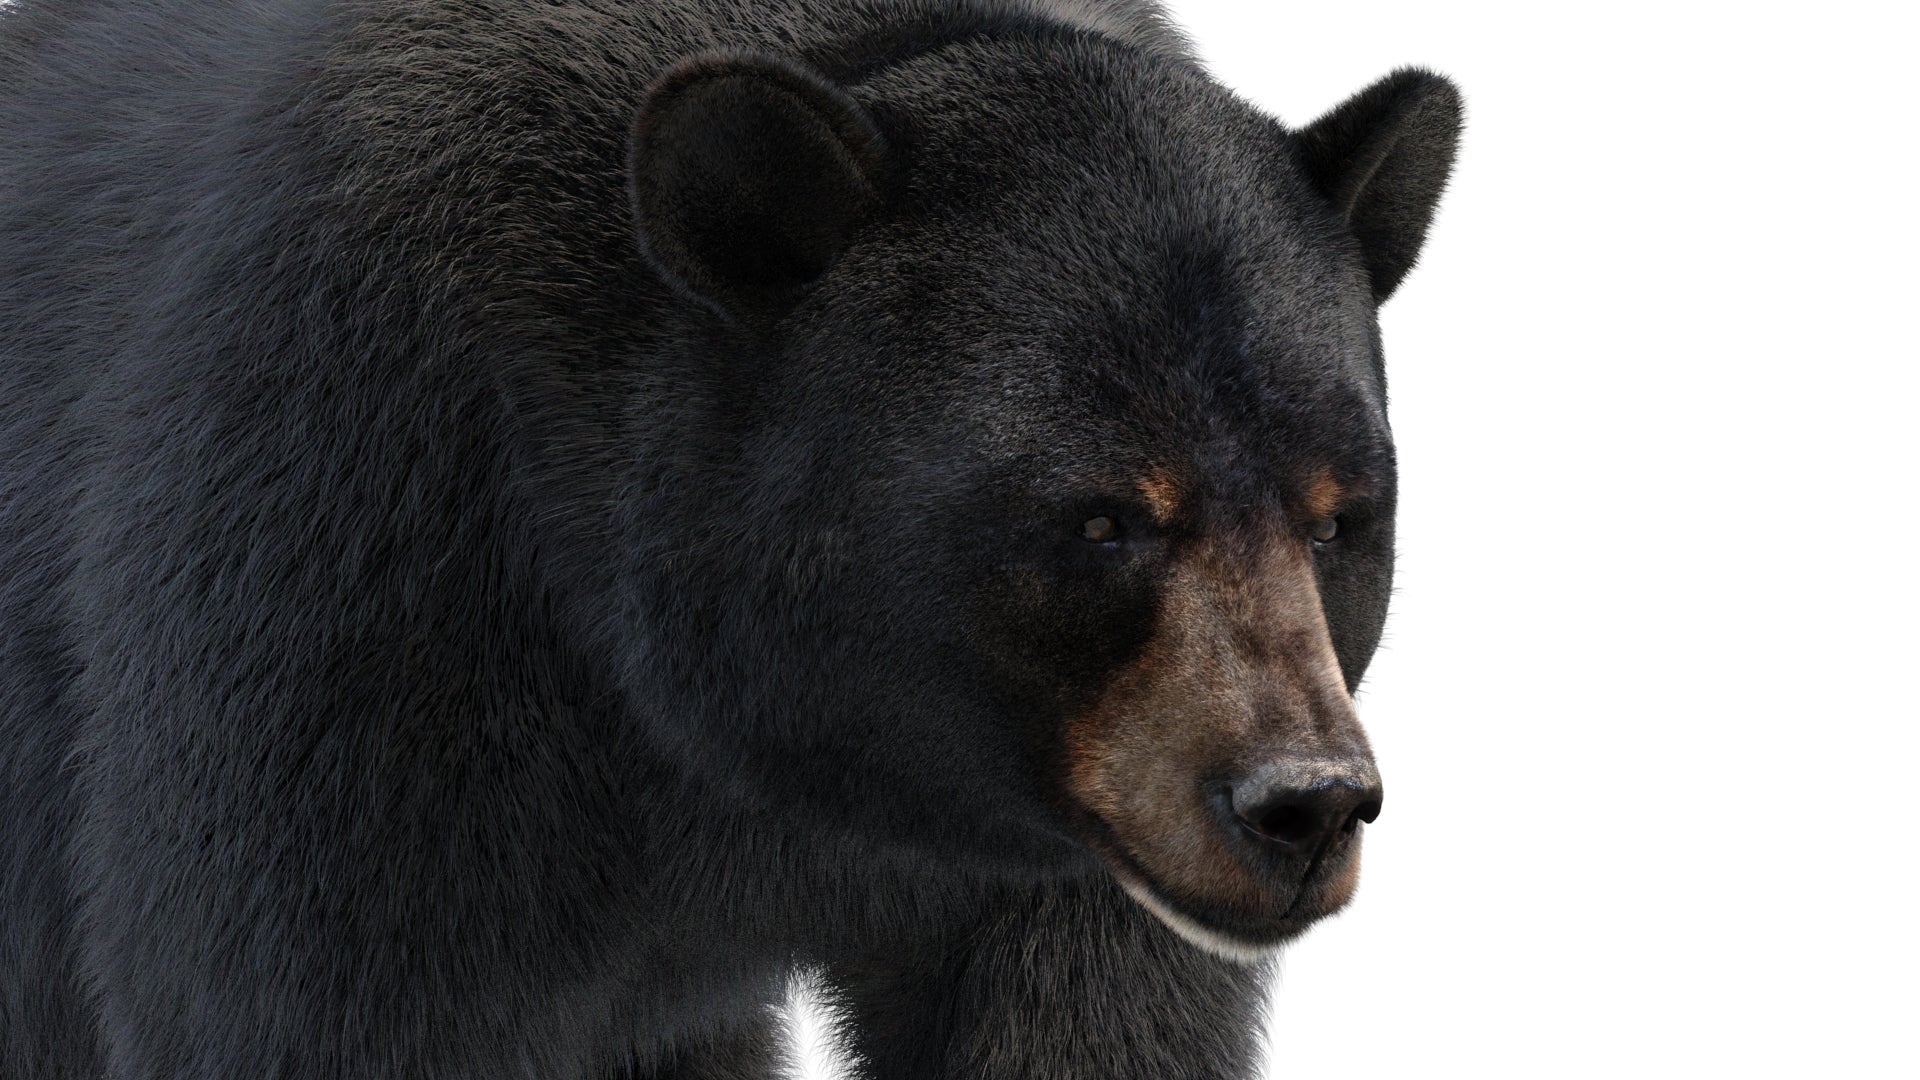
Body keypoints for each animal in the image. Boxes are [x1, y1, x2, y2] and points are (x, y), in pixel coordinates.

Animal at [0, 0, 1460, 1076]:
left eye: (1340, 514)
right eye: (1101, 515)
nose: (1304, 805)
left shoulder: (1082, 830)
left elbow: (1091, 1018)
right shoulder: (360, 546)